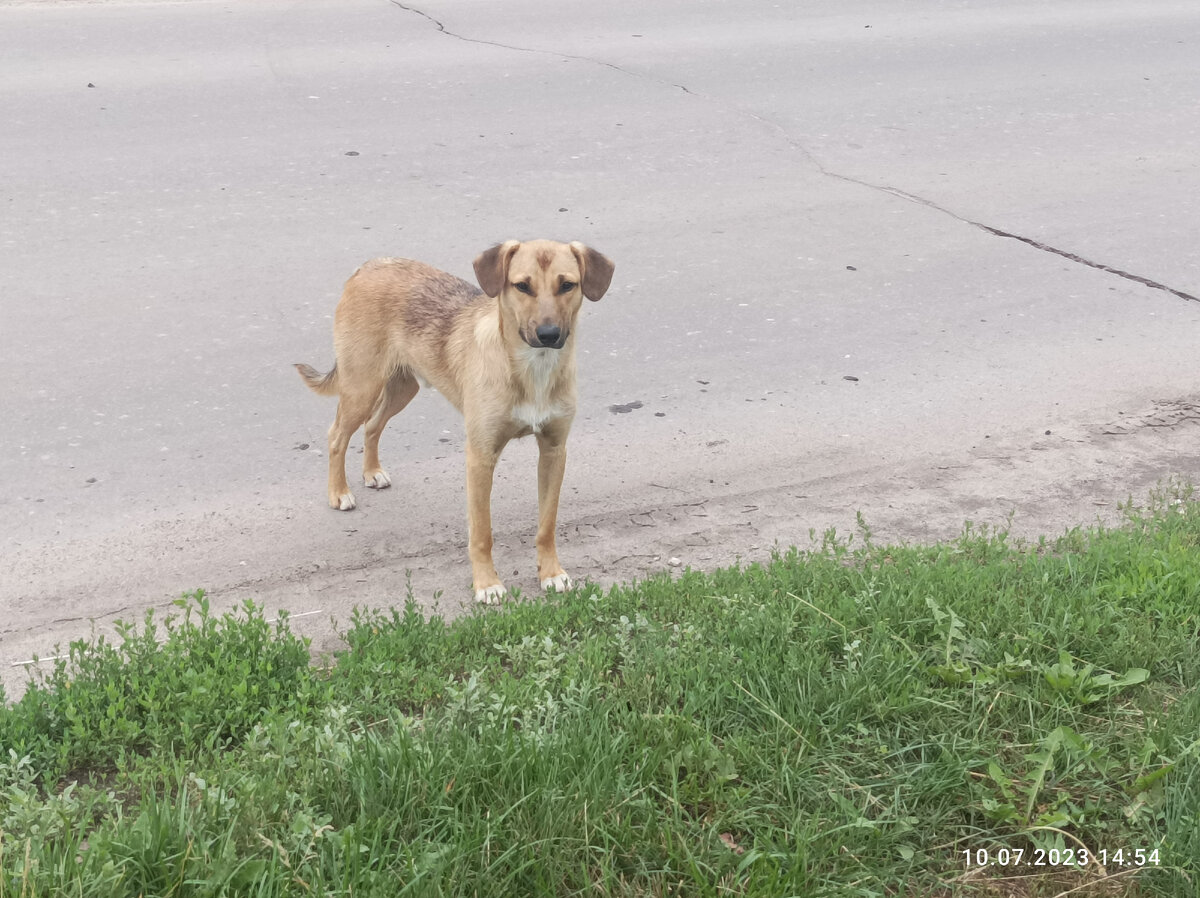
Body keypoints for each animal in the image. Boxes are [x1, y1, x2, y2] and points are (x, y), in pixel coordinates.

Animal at [296, 238, 614, 602]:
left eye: (567, 285)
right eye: (522, 286)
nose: (549, 334)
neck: (532, 369)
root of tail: (369, 266)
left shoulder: (553, 450)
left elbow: (546, 525)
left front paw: (550, 573)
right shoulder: (480, 456)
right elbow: (482, 532)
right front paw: (487, 584)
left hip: (402, 387)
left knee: (373, 426)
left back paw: (372, 472)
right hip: (362, 386)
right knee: (337, 434)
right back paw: (338, 492)